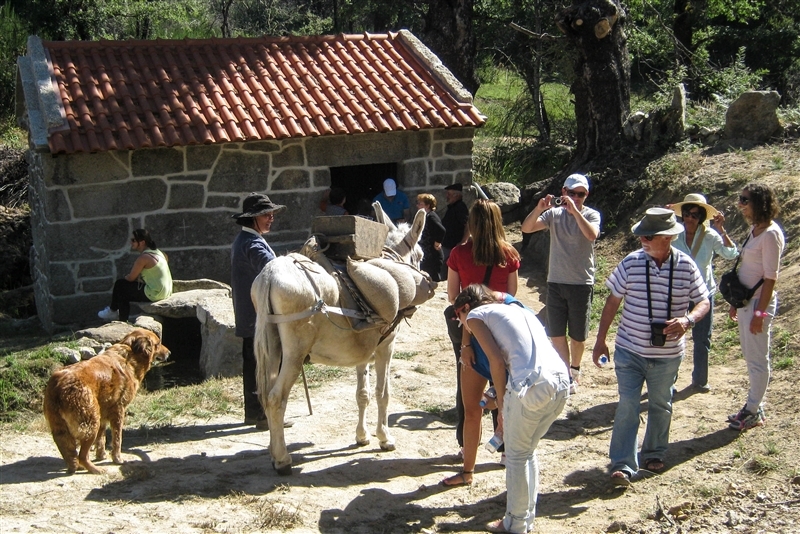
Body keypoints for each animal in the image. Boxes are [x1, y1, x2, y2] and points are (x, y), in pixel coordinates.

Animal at [43, 330, 170, 478]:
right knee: (82, 455)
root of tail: (59, 384)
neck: (130, 353)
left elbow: (102, 438)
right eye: (158, 343)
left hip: (64, 425)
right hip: (90, 423)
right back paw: (94, 469)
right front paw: (117, 459)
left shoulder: (103, 411)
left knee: (69, 450)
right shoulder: (118, 409)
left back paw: (76, 466)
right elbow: (117, 438)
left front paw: (101, 455)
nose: (169, 353)